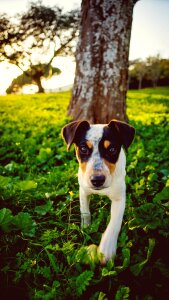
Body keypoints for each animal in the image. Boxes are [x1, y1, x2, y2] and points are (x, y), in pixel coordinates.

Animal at [61, 118, 135, 264]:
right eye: (83, 149)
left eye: (112, 149)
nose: (97, 180)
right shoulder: (83, 190)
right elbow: (85, 211)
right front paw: (86, 228)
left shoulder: (119, 198)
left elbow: (115, 223)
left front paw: (106, 248)